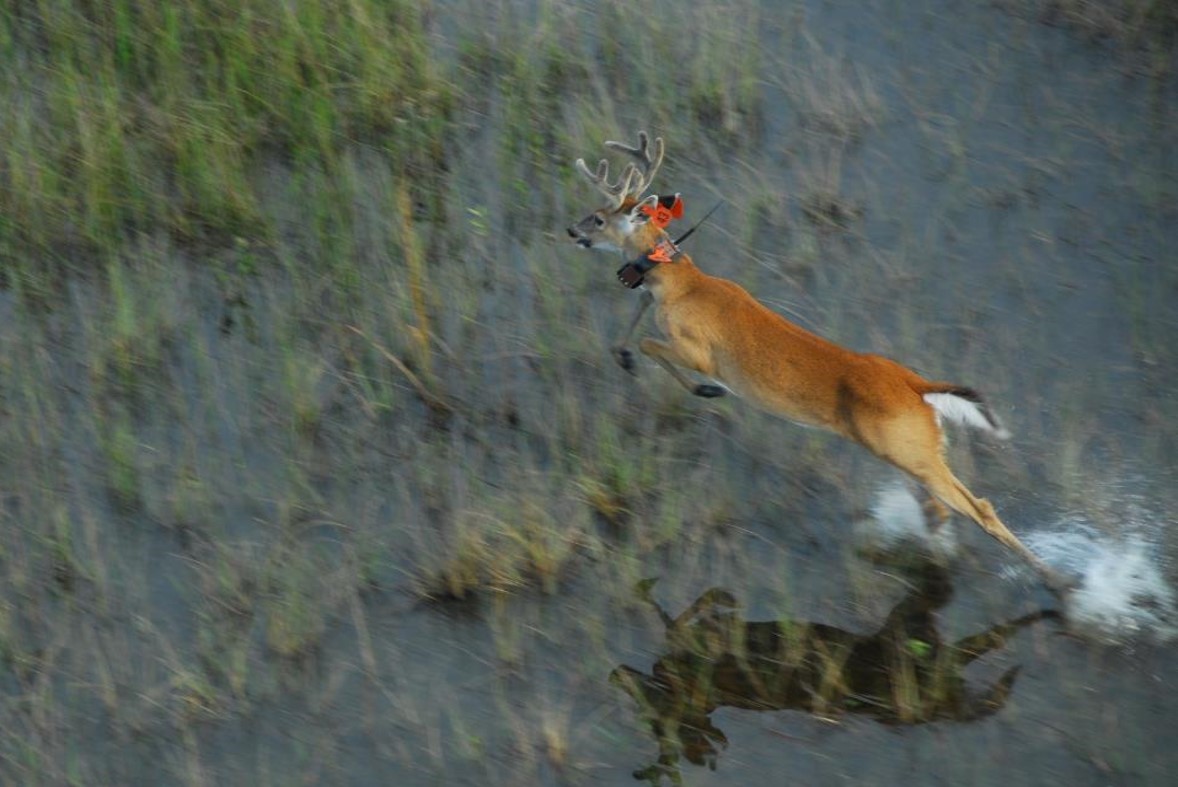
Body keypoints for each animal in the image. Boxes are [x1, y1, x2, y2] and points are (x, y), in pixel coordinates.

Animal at [566, 132, 1069, 599]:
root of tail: (916, 386)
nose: (573, 232)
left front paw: (705, 389)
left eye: (599, 217)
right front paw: (623, 354)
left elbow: (653, 342)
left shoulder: (700, 351)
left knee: (978, 508)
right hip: (904, 451)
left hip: (913, 454)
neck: (682, 284)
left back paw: (1061, 583)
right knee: (939, 510)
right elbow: (635, 320)